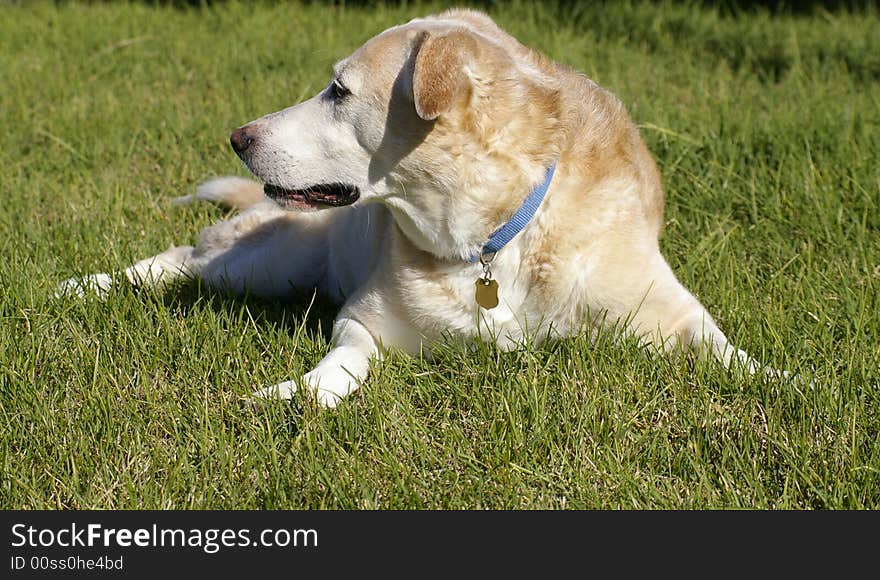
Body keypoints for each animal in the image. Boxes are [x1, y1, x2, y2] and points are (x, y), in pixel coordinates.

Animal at [58, 9, 788, 408]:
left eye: (338, 90)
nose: (239, 138)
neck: (494, 238)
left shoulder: (665, 310)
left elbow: (727, 352)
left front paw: (789, 383)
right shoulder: (364, 320)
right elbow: (344, 364)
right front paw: (301, 395)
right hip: (269, 262)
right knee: (182, 258)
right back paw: (80, 286)